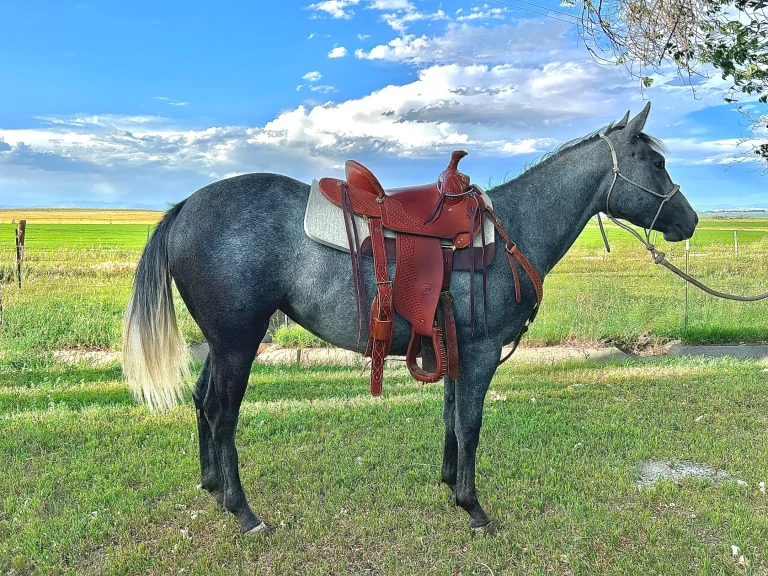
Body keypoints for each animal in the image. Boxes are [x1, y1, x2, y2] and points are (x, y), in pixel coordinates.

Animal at [123, 103, 698, 534]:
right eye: (655, 162)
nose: (690, 220)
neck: (513, 229)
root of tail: (186, 207)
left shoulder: (455, 347)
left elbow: (451, 416)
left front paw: (448, 484)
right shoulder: (482, 350)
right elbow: (470, 423)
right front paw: (473, 506)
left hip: (224, 344)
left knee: (203, 402)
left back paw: (213, 487)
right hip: (238, 343)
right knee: (222, 415)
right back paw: (243, 511)